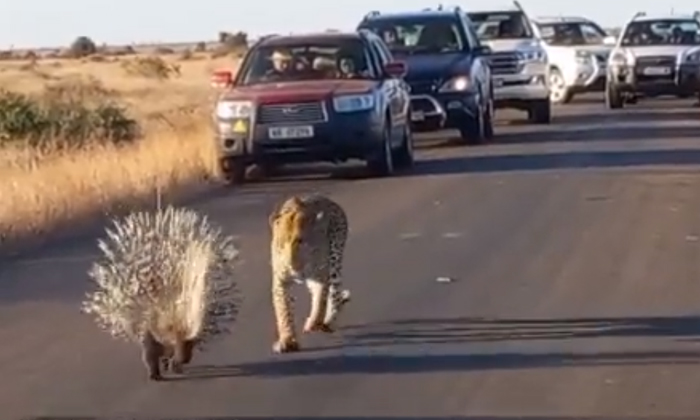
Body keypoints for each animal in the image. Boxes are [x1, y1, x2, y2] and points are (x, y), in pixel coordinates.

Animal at [266, 195, 350, 352]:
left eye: (300, 241)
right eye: (281, 244)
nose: (291, 266)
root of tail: (327, 198)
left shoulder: (321, 277)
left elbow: (320, 301)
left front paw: (314, 323)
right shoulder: (281, 282)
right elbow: (284, 310)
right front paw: (287, 340)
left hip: (335, 261)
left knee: (334, 295)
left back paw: (326, 322)